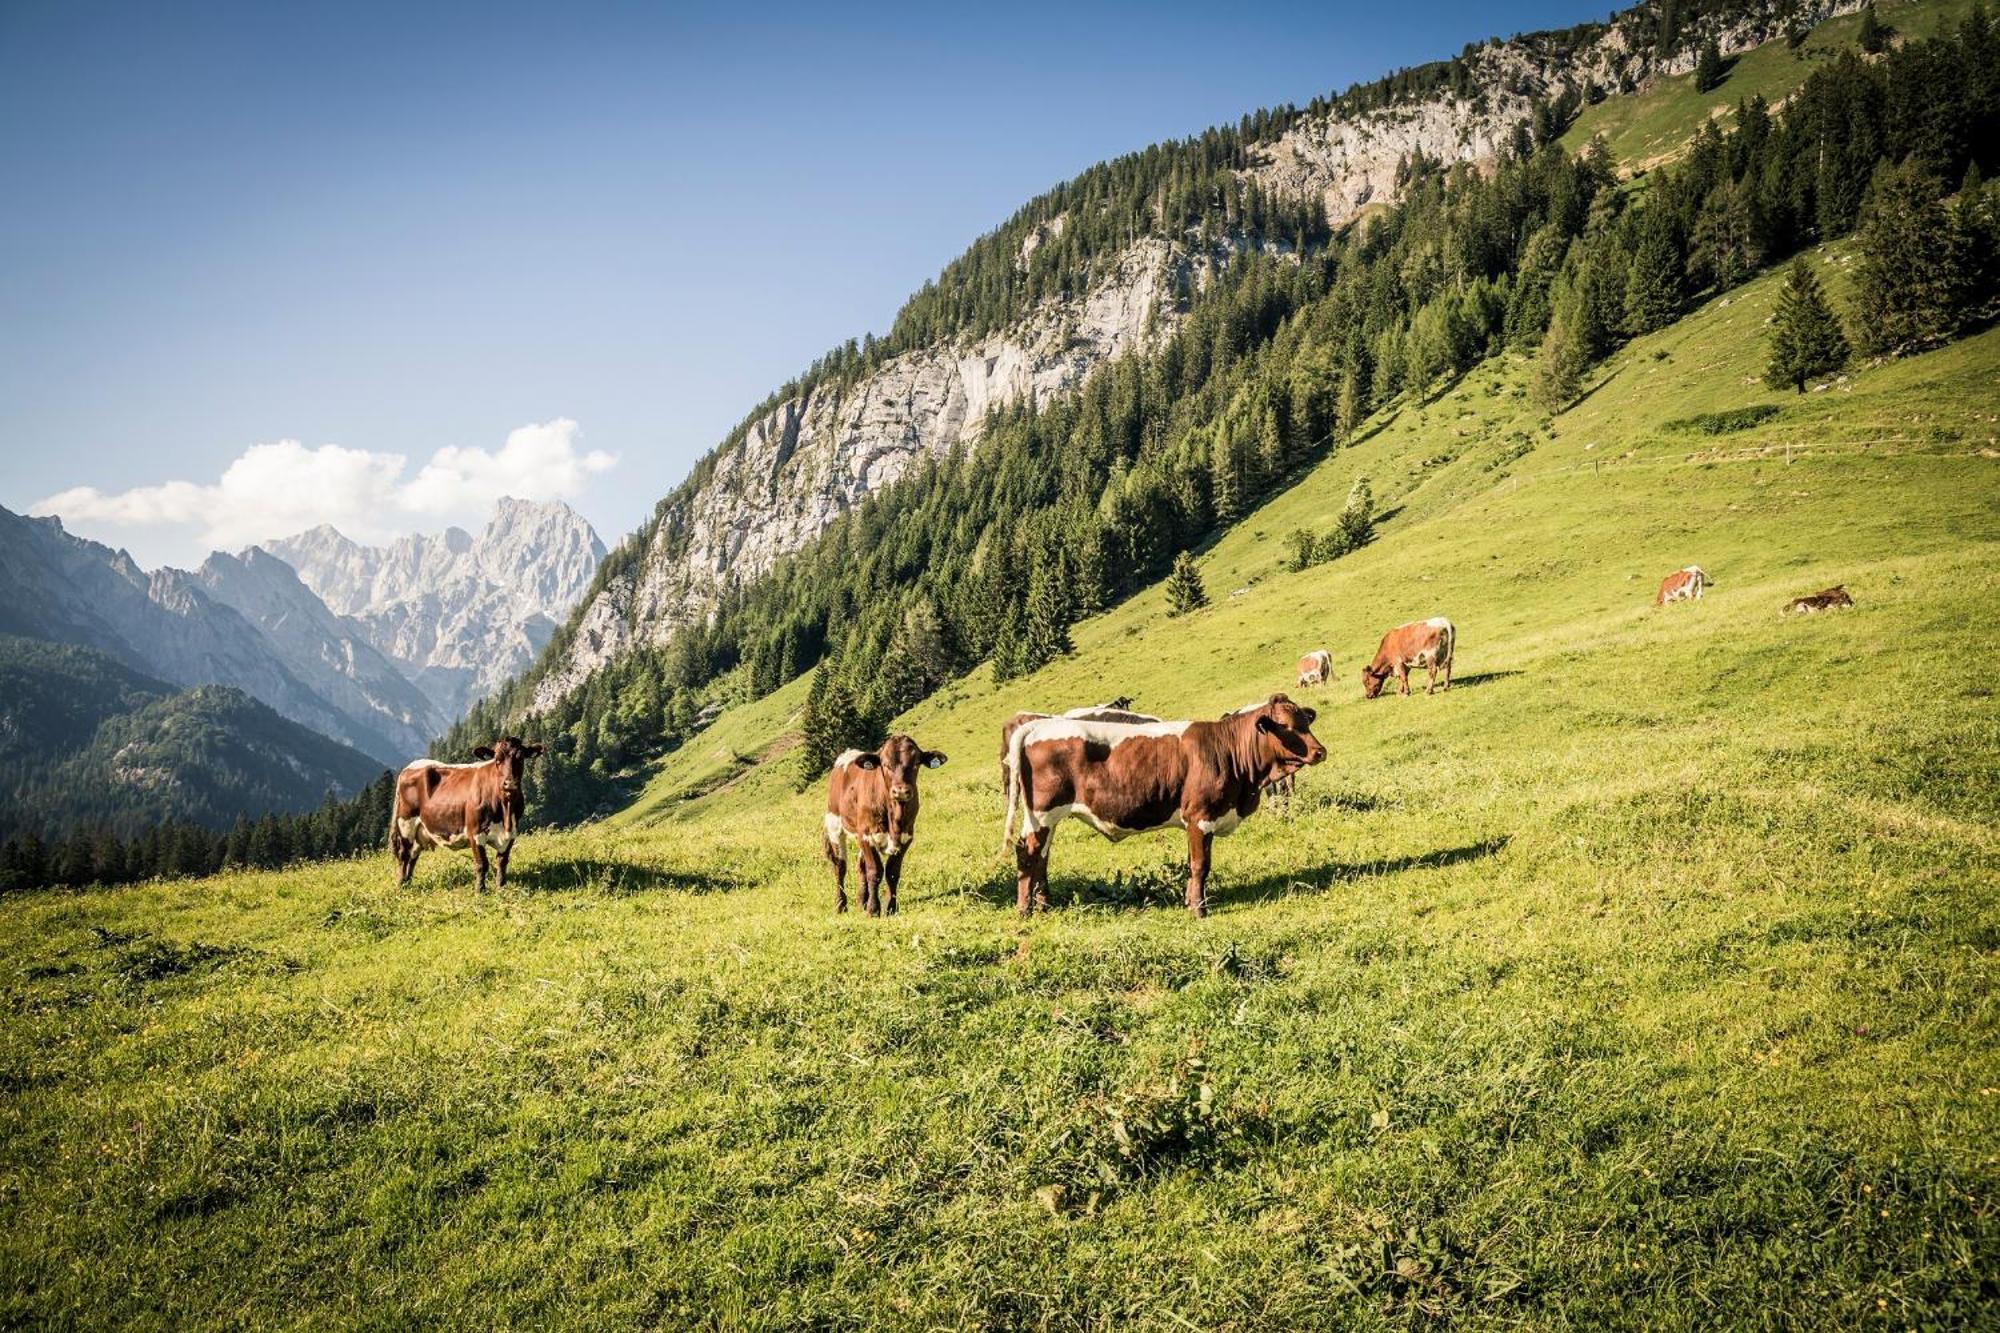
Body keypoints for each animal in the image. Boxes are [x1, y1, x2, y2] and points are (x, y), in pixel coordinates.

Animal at [390, 732, 544, 888]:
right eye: (497, 760)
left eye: (521, 758)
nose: (510, 783)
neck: (505, 810)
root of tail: (410, 766)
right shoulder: (475, 832)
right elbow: (482, 864)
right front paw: (480, 890)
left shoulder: (511, 833)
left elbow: (502, 863)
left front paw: (501, 887)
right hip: (406, 823)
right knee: (404, 854)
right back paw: (401, 884)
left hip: (419, 831)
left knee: (413, 855)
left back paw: (407, 882)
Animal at [828, 736, 952, 912]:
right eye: (885, 764)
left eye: (916, 763)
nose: (900, 791)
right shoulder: (866, 834)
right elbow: (875, 871)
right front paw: (873, 909)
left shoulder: (906, 836)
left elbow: (892, 873)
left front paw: (890, 908)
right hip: (834, 825)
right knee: (840, 867)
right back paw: (841, 905)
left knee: (860, 866)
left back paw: (861, 900)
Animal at [1000, 696, 1328, 912]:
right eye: (1284, 725)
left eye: (1305, 721)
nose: (1320, 751)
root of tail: (1038, 725)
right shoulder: (1200, 816)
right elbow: (1200, 865)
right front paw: (1198, 908)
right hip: (1043, 813)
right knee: (1027, 854)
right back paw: (1025, 909)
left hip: (1047, 817)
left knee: (1041, 856)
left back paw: (1044, 904)